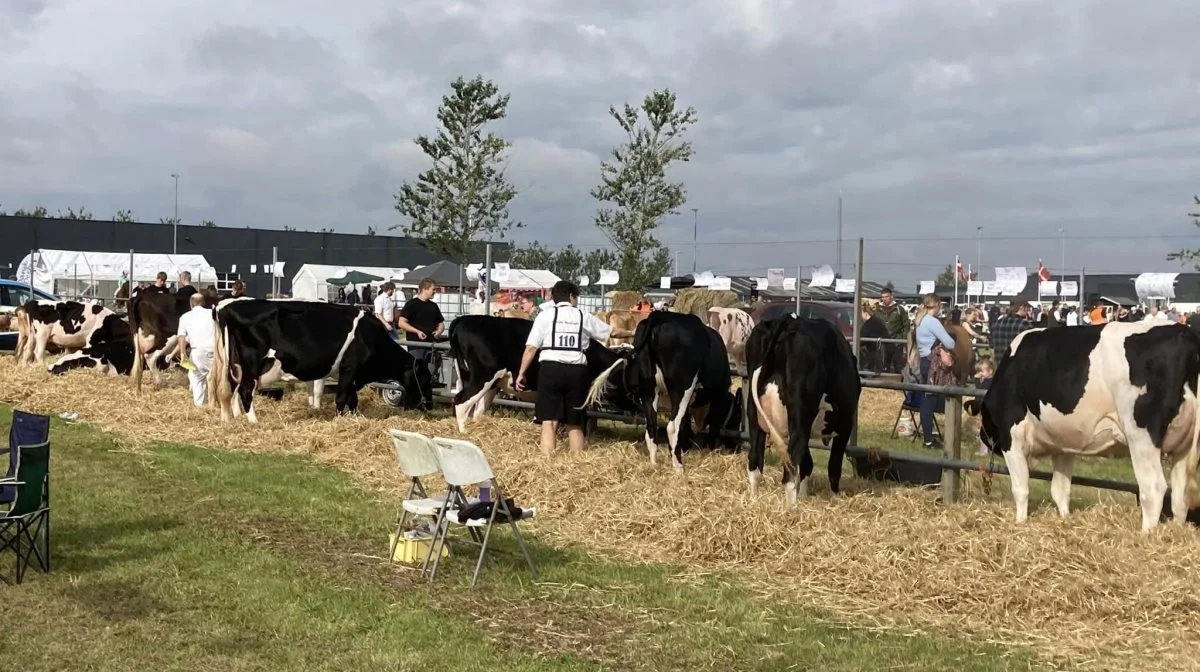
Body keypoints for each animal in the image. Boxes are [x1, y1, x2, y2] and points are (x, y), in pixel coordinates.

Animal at [213, 297, 434, 422]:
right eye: (425, 378)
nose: (430, 405)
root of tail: (227, 307)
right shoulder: (350, 368)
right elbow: (342, 397)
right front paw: (339, 419)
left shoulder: (352, 375)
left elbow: (352, 399)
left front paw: (353, 419)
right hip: (252, 364)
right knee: (245, 391)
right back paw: (253, 422)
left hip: (234, 364)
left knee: (230, 389)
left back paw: (229, 420)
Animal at [448, 314, 638, 432]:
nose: (638, 409)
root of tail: (463, 320)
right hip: (483, 376)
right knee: (461, 402)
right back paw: (464, 434)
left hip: (487, 381)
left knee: (476, 410)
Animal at [583, 312, 739, 472]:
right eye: (737, 418)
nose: (737, 447)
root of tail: (658, 315)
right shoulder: (719, 394)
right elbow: (712, 427)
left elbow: (686, 424)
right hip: (682, 388)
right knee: (672, 426)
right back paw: (678, 467)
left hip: (649, 390)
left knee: (651, 427)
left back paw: (653, 463)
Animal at [744, 316, 859, 501]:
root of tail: (786, 320)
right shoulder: (844, 426)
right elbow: (833, 467)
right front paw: (833, 498)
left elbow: (807, 463)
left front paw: (804, 497)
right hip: (800, 417)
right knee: (791, 470)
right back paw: (792, 506)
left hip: (754, 413)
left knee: (755, 463)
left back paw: (754, 501)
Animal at [979, 324, 1200, 532]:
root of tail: (1184, 334)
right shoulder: (1064, 445)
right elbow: (1060, 489)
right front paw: (1065, 519)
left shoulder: (1011, 437)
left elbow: (1020, 488)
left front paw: (1020, 522)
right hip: (1183, 446)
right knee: (1180, 496)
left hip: (1141, 438)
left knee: (1153, 489)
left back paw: (1145, 535)